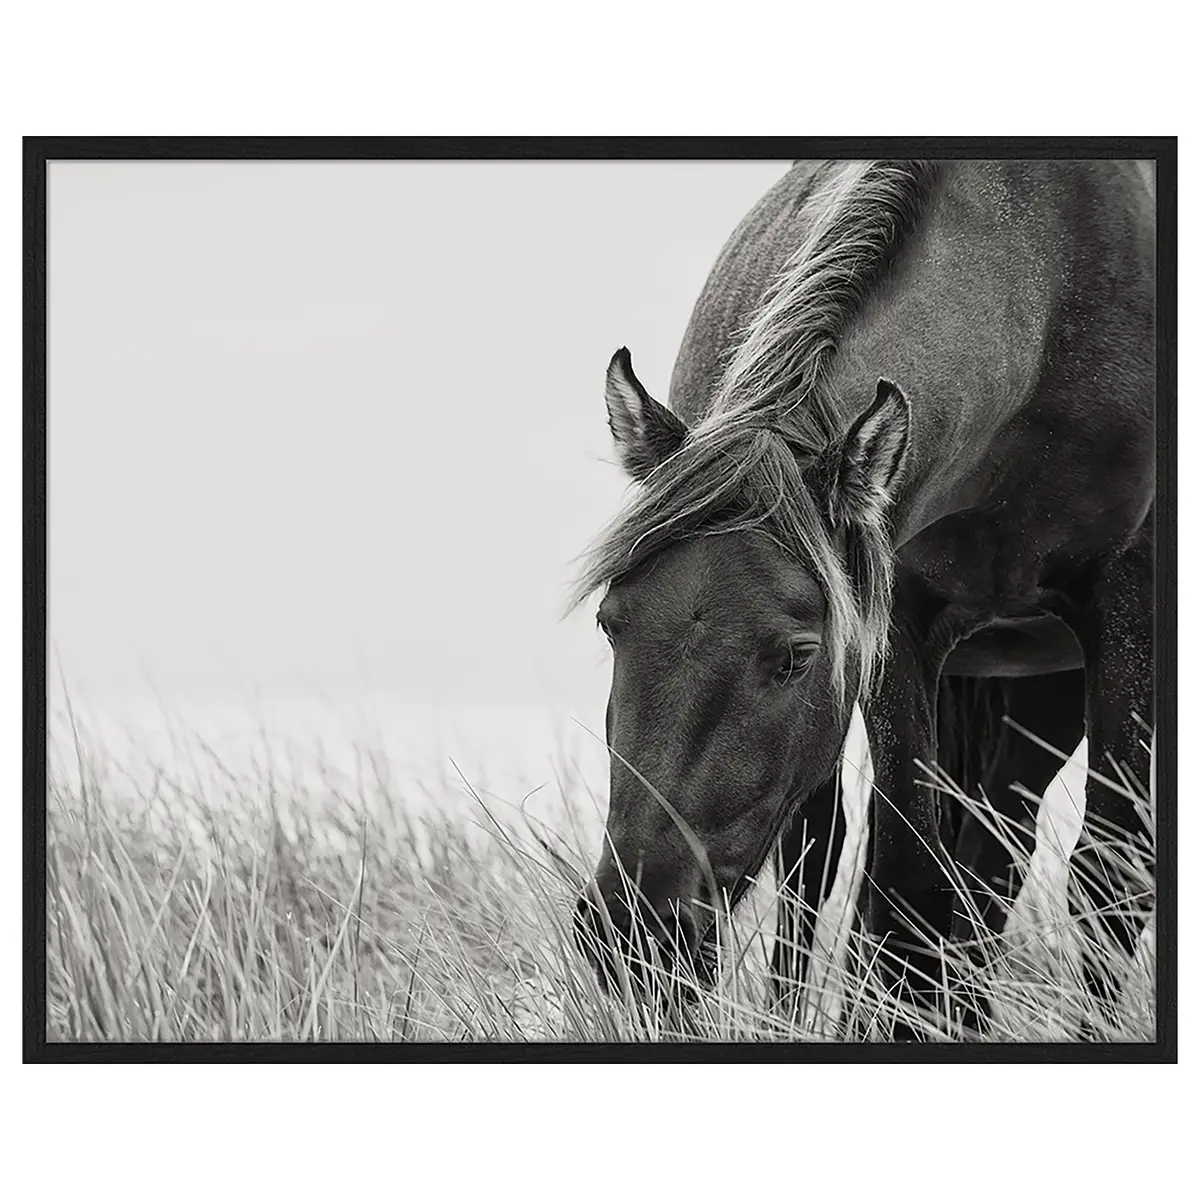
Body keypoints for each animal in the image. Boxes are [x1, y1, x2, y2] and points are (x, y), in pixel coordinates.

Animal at [571, 159, 1155, 1037]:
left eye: (795, 655)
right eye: (612, 625)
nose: (633, 929)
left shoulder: (1132, 615)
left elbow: (1112, 874)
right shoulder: (900, 625)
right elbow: (905, 876)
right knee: (837, 859)